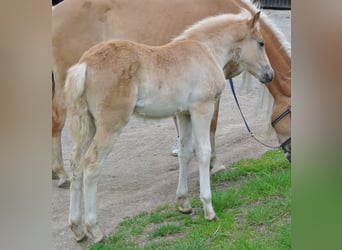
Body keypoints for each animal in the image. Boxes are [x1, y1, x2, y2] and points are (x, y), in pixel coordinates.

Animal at [52, 0, 292, 187]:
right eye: (260, 43)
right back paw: (61, 174)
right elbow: (212, 124)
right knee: (58, 121)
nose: (269, 75)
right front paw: (214, 164)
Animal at [64, 11, 272, 242]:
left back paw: (77, 229)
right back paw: (96, 230)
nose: (269, 75)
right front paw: (209, 209)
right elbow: (203, 151)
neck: (206, 50)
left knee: (75, 163)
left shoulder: (184, 114)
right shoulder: (202, 108)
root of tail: (85, 64)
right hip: (111, 125)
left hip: (88, 124)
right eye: (261, 43)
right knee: (92, 164)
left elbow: (185, 152)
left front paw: (184, 203)